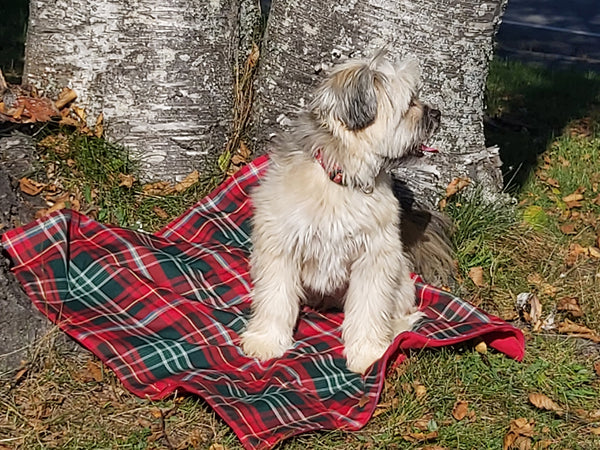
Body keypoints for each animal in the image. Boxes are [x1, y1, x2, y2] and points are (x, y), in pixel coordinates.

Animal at [241, 52, 442, 374]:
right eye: (411, 101)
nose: (436, 113)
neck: (342, 179)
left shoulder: (375, 256)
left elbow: (370, 309)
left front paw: (369, 353)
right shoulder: (280, 246)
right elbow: (275, 298)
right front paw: (266, 341)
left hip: (399, 276)